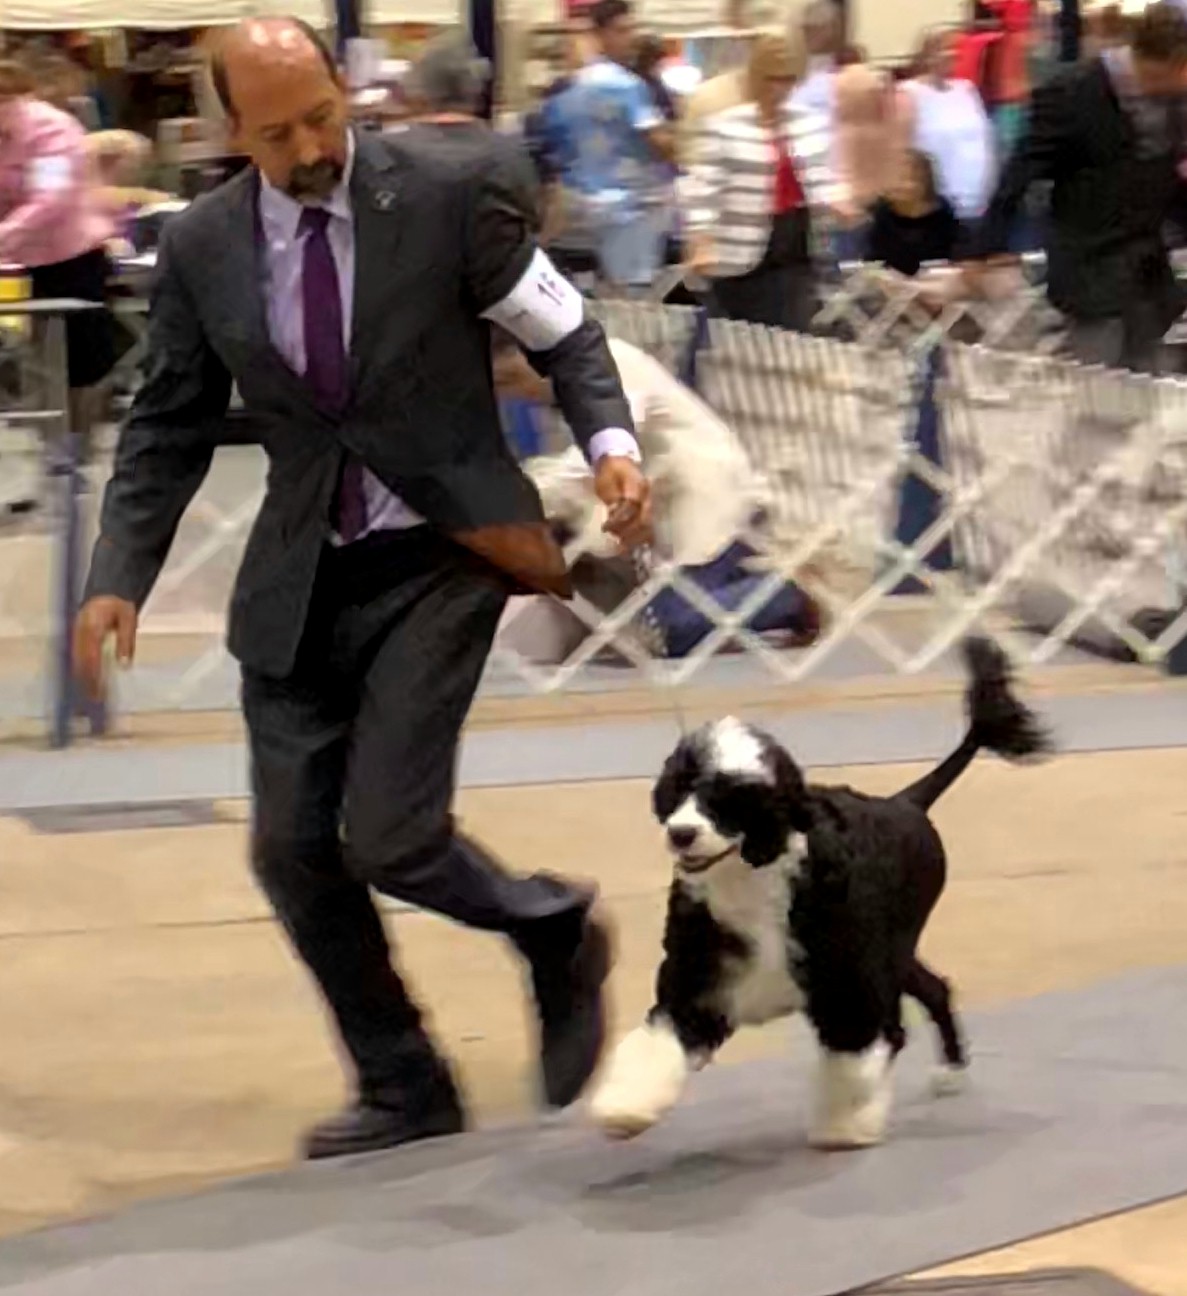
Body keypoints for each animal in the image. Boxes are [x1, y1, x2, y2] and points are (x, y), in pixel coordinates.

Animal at [590, 637, 1047, 1145]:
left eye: (733, 798)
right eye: (679, 787)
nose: (681, 834)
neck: (755, 878)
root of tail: (906, 802)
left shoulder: (847, 980)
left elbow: (856, 1050)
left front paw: (846, 1124)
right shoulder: (700, 982)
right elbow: (661, 1039)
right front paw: (625, 1108)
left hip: (890, 947)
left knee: (911, 1010)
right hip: (894, 954)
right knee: (934, 988)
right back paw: (950, 1071)